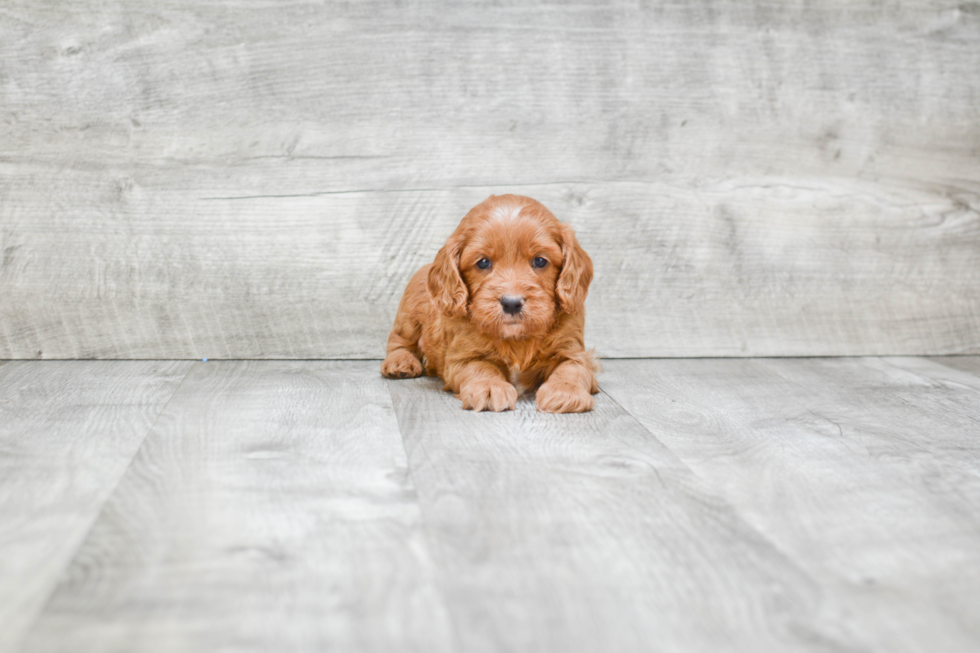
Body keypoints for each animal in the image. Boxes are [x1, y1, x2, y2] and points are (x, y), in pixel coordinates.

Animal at [380, 191, 596, 412]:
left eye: (540, 261)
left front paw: (565, 392)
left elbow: (572, 368)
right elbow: (480, 366)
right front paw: (490, 387)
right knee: (399, 340)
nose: (511, 303)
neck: (517, 339)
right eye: (483, 262)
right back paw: (400, 363)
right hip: (409, 314)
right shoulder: (463, 356)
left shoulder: (573, 349)